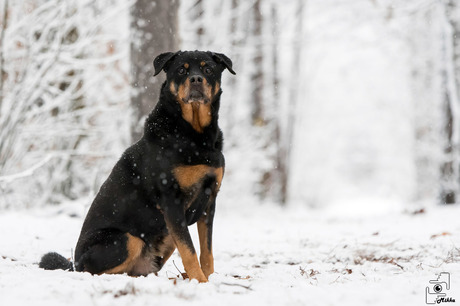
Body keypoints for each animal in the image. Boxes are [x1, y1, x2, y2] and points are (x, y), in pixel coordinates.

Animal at [37, 50, 235, 282]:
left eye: (208, 69)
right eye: (181, 70)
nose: (196, 79)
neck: (194, 135)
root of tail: (74, 263)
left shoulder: (209, 201)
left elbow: (207, 251)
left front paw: (208, 279)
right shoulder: (171, 200)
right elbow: (189, 250)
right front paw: (200, 281)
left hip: (164, 238)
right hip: (127, 239)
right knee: (95, 269)